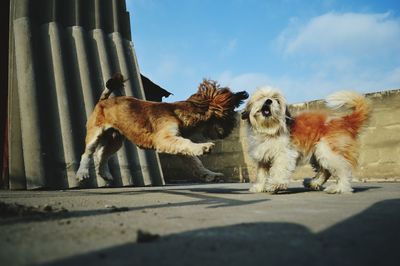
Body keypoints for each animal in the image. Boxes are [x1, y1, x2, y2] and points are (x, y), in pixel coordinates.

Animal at [76, 74, 248, 184]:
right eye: (229, 117)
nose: (230, 131)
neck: (180, 114)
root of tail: (103, 100)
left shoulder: (176, 142)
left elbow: (195, 161)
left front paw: (209, 175)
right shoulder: (164, 139)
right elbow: (189, 146)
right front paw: (203, 147)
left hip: (115, 140)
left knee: (101, 155)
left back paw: (104, 173)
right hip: (95, 134)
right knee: (88, 153)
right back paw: (82, 173)